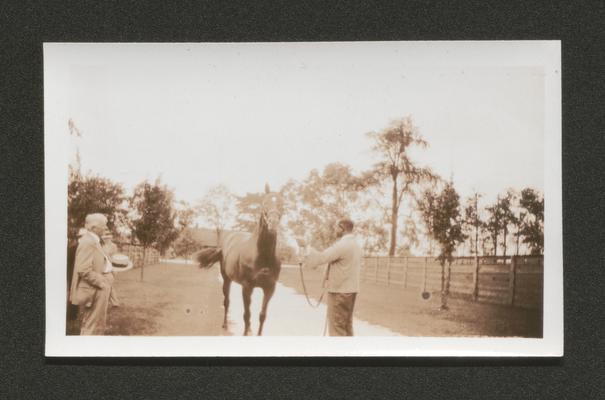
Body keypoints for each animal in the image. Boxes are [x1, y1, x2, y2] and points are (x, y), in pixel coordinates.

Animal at [197, 186, 284, 336]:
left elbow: (262, 315)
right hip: (227, 280)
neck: (262, 257)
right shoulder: (247, 287)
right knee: (227, 302)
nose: (273, 224)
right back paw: (225, 324)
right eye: (264, 204)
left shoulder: (269, 289)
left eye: (282, 205)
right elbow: (247, 314)